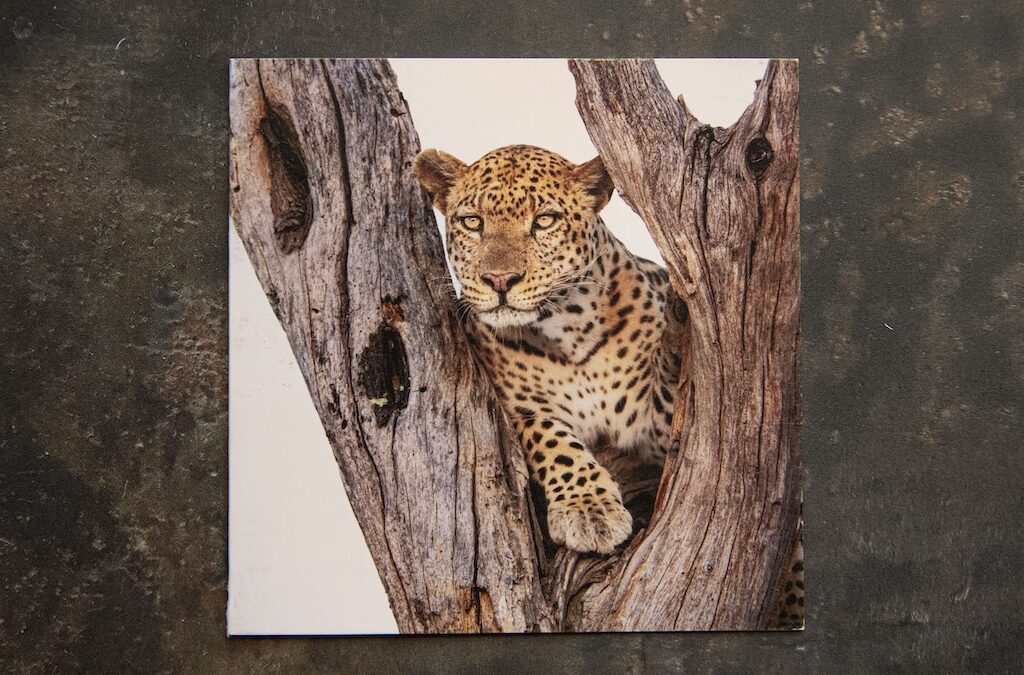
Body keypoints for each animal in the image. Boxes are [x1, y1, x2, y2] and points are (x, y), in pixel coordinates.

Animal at [414, 144, 803, 626]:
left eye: (544, 220)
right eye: (472, 222)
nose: (499, 280)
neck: (568, 331)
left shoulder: (660, 427)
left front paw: (680, 324)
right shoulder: (517, 407)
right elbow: (554, 441)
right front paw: (588, 510)